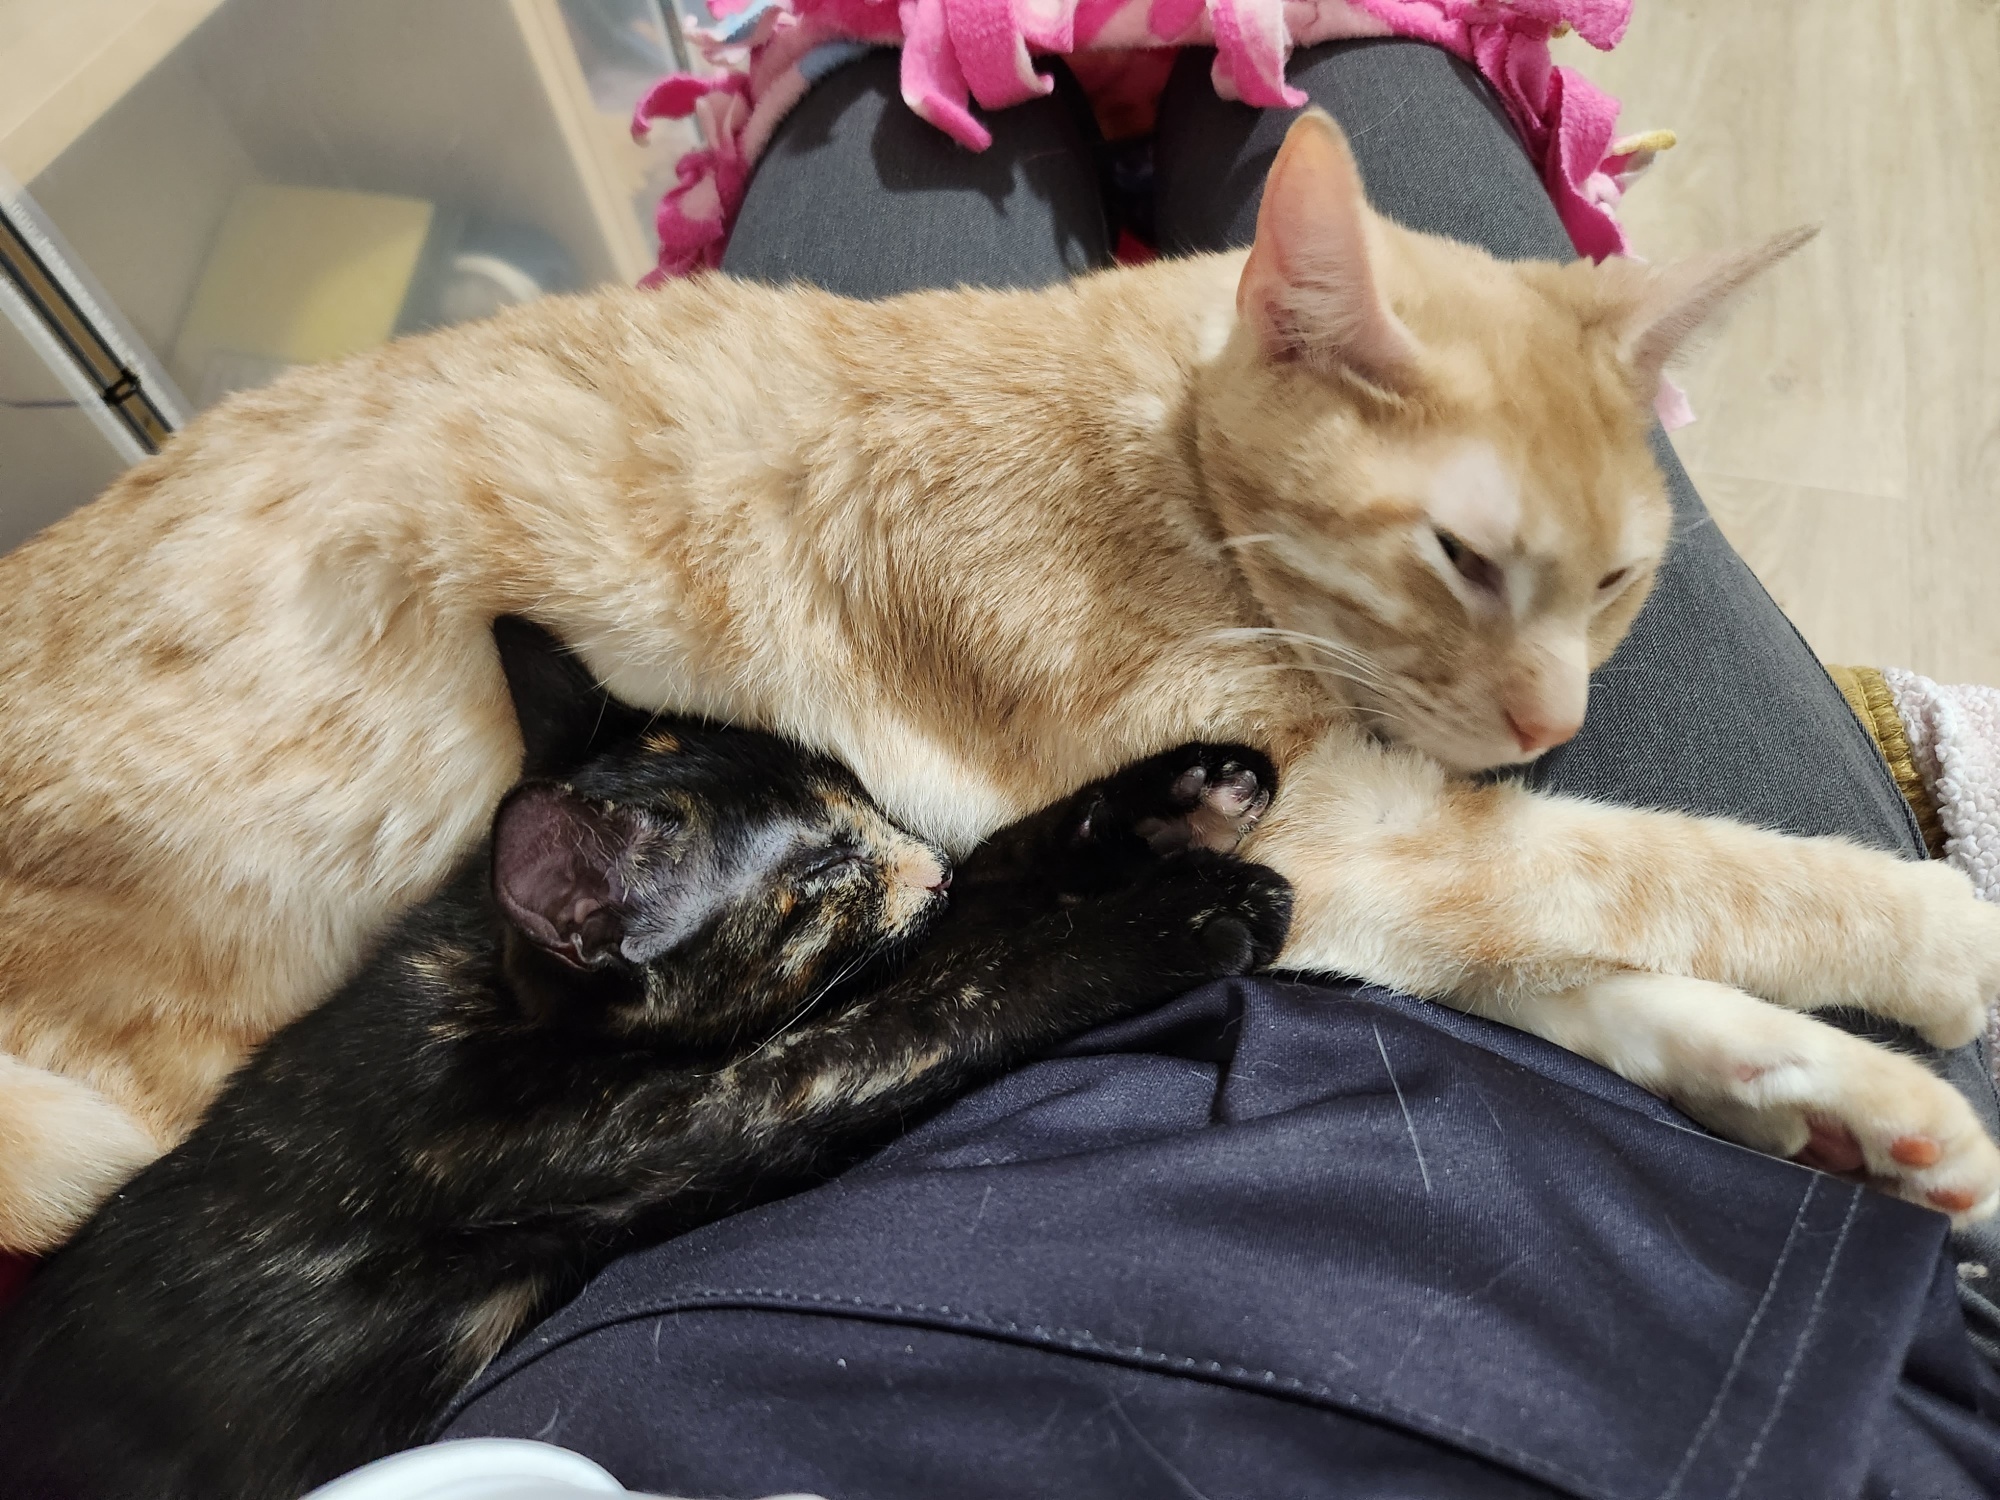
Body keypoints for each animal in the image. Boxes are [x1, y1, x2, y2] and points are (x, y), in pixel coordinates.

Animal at [0, 624, 1288, 1500]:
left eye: (865, 800)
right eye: (819, 877)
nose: (910, 859)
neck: (494, 989)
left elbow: (981, 887)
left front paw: (1181, 797)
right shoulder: (719, 1106)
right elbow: (946, 994)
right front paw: (1173, 916)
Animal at [3, 111, 2000, 1248]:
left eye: (1618, 582)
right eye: (1462, 560)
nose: (1554, 721)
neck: (1164, 451)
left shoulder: (1350, 867)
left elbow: (1574, 968)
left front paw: (1852, 1109)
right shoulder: (1354, 840)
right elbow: (1655, 868)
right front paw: (1941, 945)